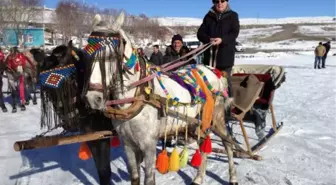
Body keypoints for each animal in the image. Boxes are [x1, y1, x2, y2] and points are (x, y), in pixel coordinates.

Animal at [85, 12, 239, 184]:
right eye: (87, 54)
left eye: (110, 55)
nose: (93, 98)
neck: (137, 96)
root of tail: (213, 70)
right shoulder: (128, 145)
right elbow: (135, 177)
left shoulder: (149, 144)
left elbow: (149, 179)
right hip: (198, 121)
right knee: (203, 144)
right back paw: (199, 178)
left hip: (216, 117)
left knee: (227, 142)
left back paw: (232, 177)